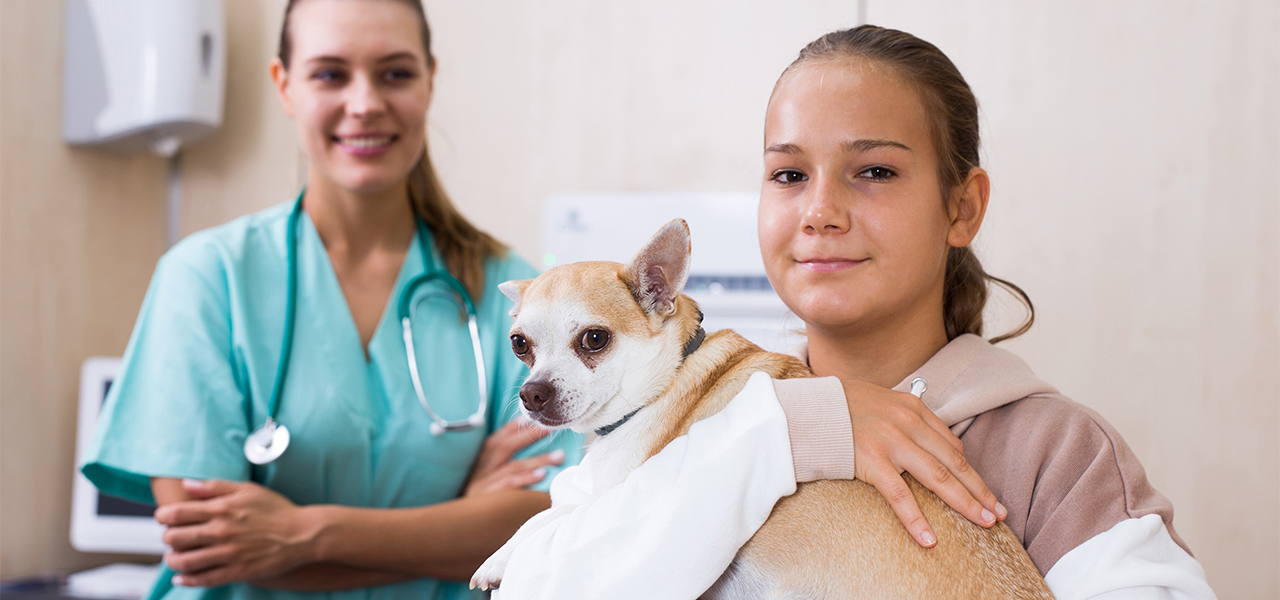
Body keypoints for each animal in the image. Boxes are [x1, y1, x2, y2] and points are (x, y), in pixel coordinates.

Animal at [471, 220, 1049, 598]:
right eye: (520, 345)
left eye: (594, 339)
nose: (531, 393)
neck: (674, 375)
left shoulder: (619, 491)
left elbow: (551, 515)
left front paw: (499, 559)